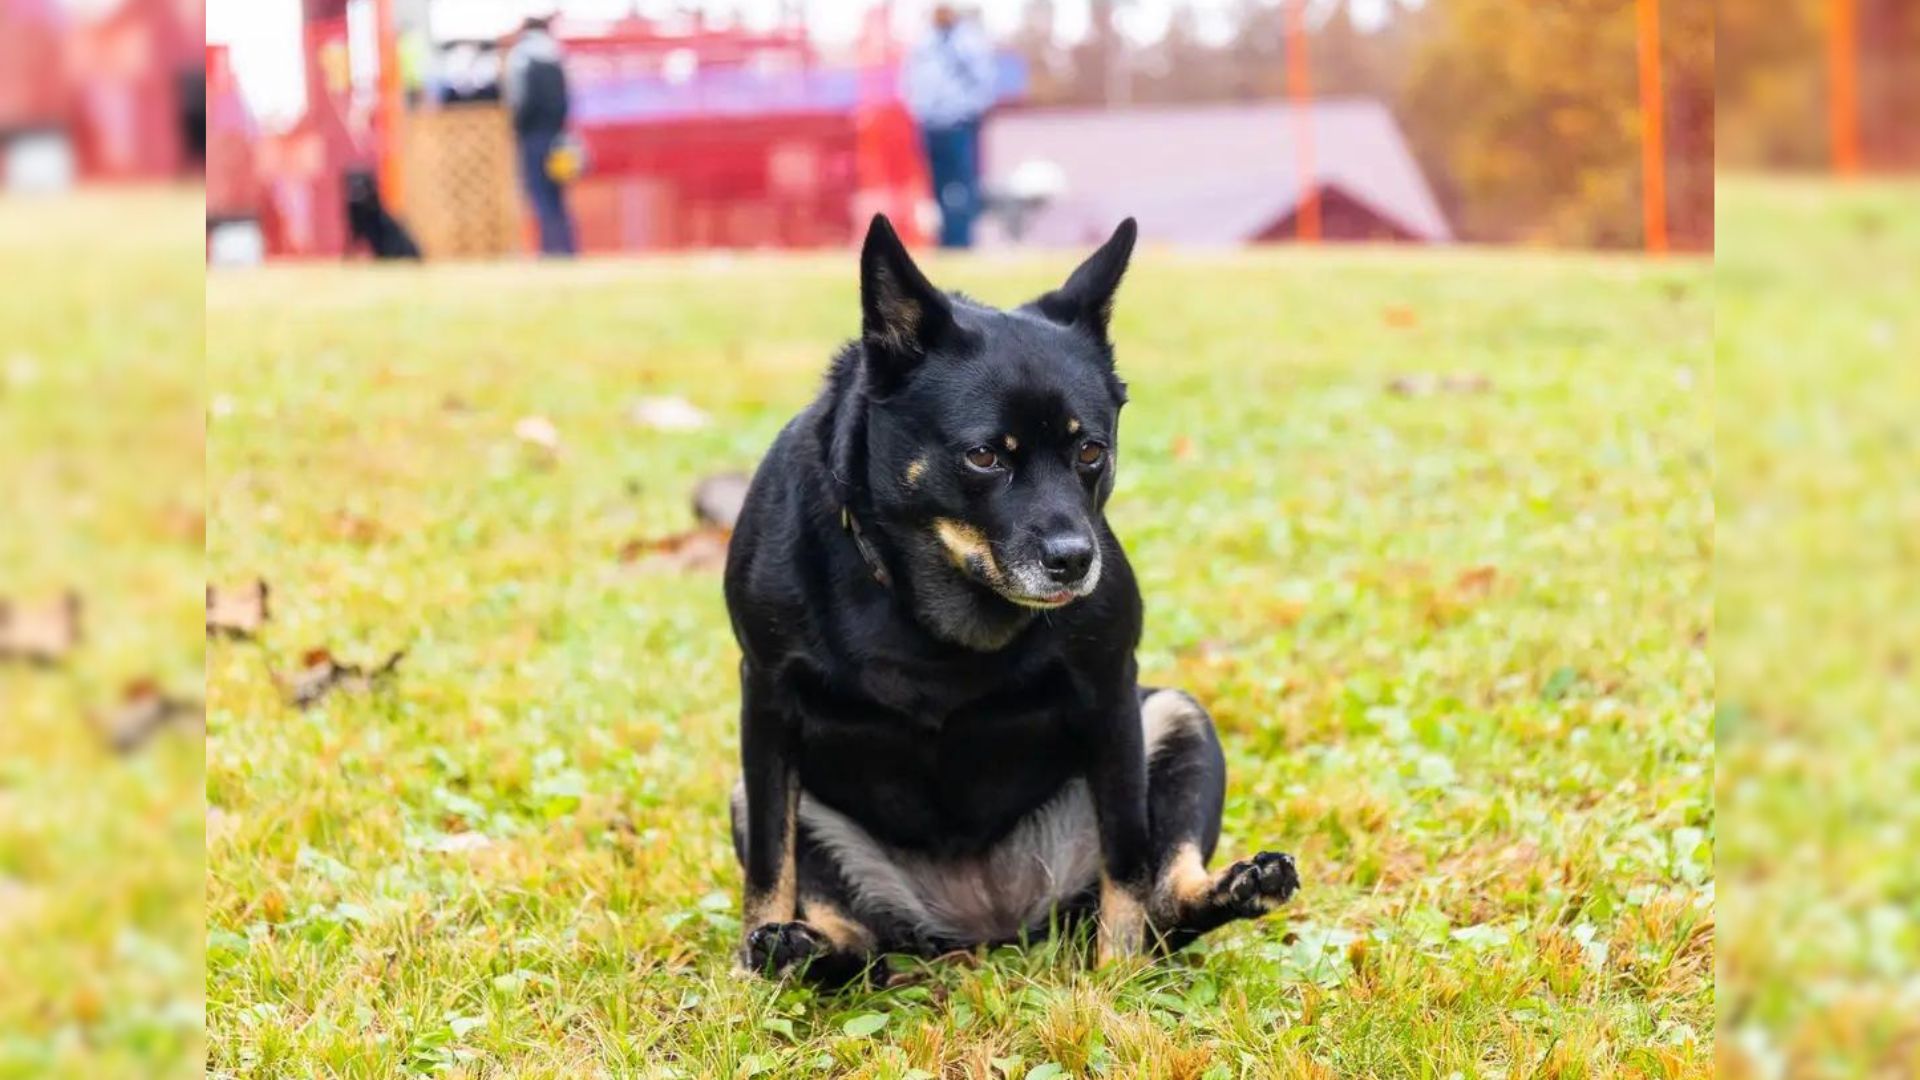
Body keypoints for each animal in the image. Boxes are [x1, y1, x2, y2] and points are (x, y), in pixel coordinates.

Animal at [721, 214, 1305, 980]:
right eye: (984, 456)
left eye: (1090, 450)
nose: (1075, 560)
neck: (935, 592)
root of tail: (987, 925)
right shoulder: (766, 704)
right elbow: (771, 865)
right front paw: (748, 972)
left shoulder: (1112, 697)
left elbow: (1128, 863)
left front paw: (1116, 979)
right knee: (858, 940)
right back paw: (801, 950)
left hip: (1179, 719)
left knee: (1163, 898)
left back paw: (1237, 888)